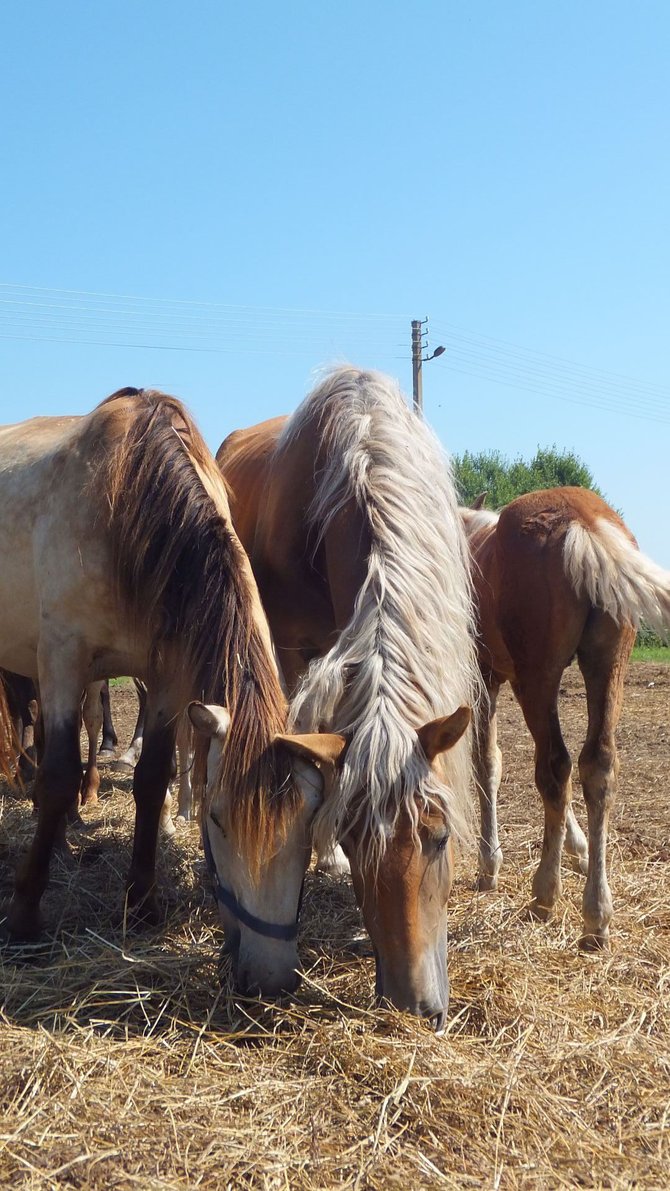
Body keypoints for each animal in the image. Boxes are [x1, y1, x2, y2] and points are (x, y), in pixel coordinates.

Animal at [0, 388, 342, 995]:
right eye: (218, 821)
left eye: (307, 832)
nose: (270, 977)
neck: (125, 506)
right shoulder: (62, 658)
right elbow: (60, 775)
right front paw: (24, 916)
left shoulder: (163, 675)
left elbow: (151, 778)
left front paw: (140, 903)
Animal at [464, 485, 670, 948]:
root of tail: (583, 523)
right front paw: (579, 850)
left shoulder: (484, 678)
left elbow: (487, 763)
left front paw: (489, 864)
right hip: (605, 666)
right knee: (596, 766)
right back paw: (597, 915)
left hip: (537, 677)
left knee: (554, 766)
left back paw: (545, 895)